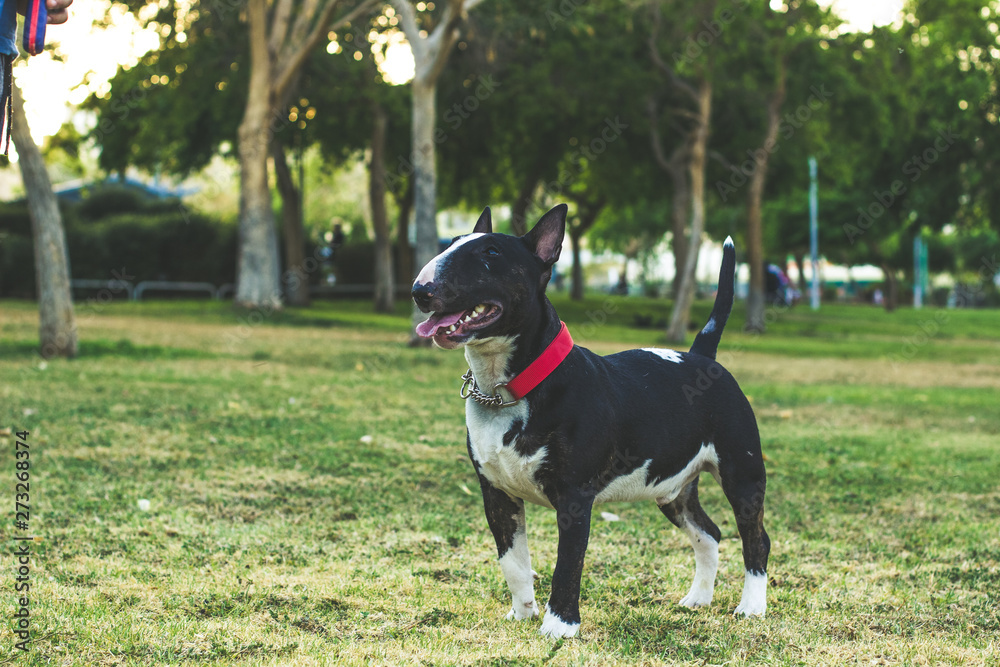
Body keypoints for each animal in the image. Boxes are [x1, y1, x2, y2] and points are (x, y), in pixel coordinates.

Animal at [410, 205, 768, 640]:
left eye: (491, 253)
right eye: (452, 243)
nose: (419, 289)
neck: (509, 390)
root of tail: (701, 356)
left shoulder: (575, 499)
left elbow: (567, 565)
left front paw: (559, 626)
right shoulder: (496, 494)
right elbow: (513, 562)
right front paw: (522, 613)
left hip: (742, 473)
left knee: (756, 538)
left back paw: (751, 606)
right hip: (674, 488)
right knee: (709, 534)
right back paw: (698, 598)